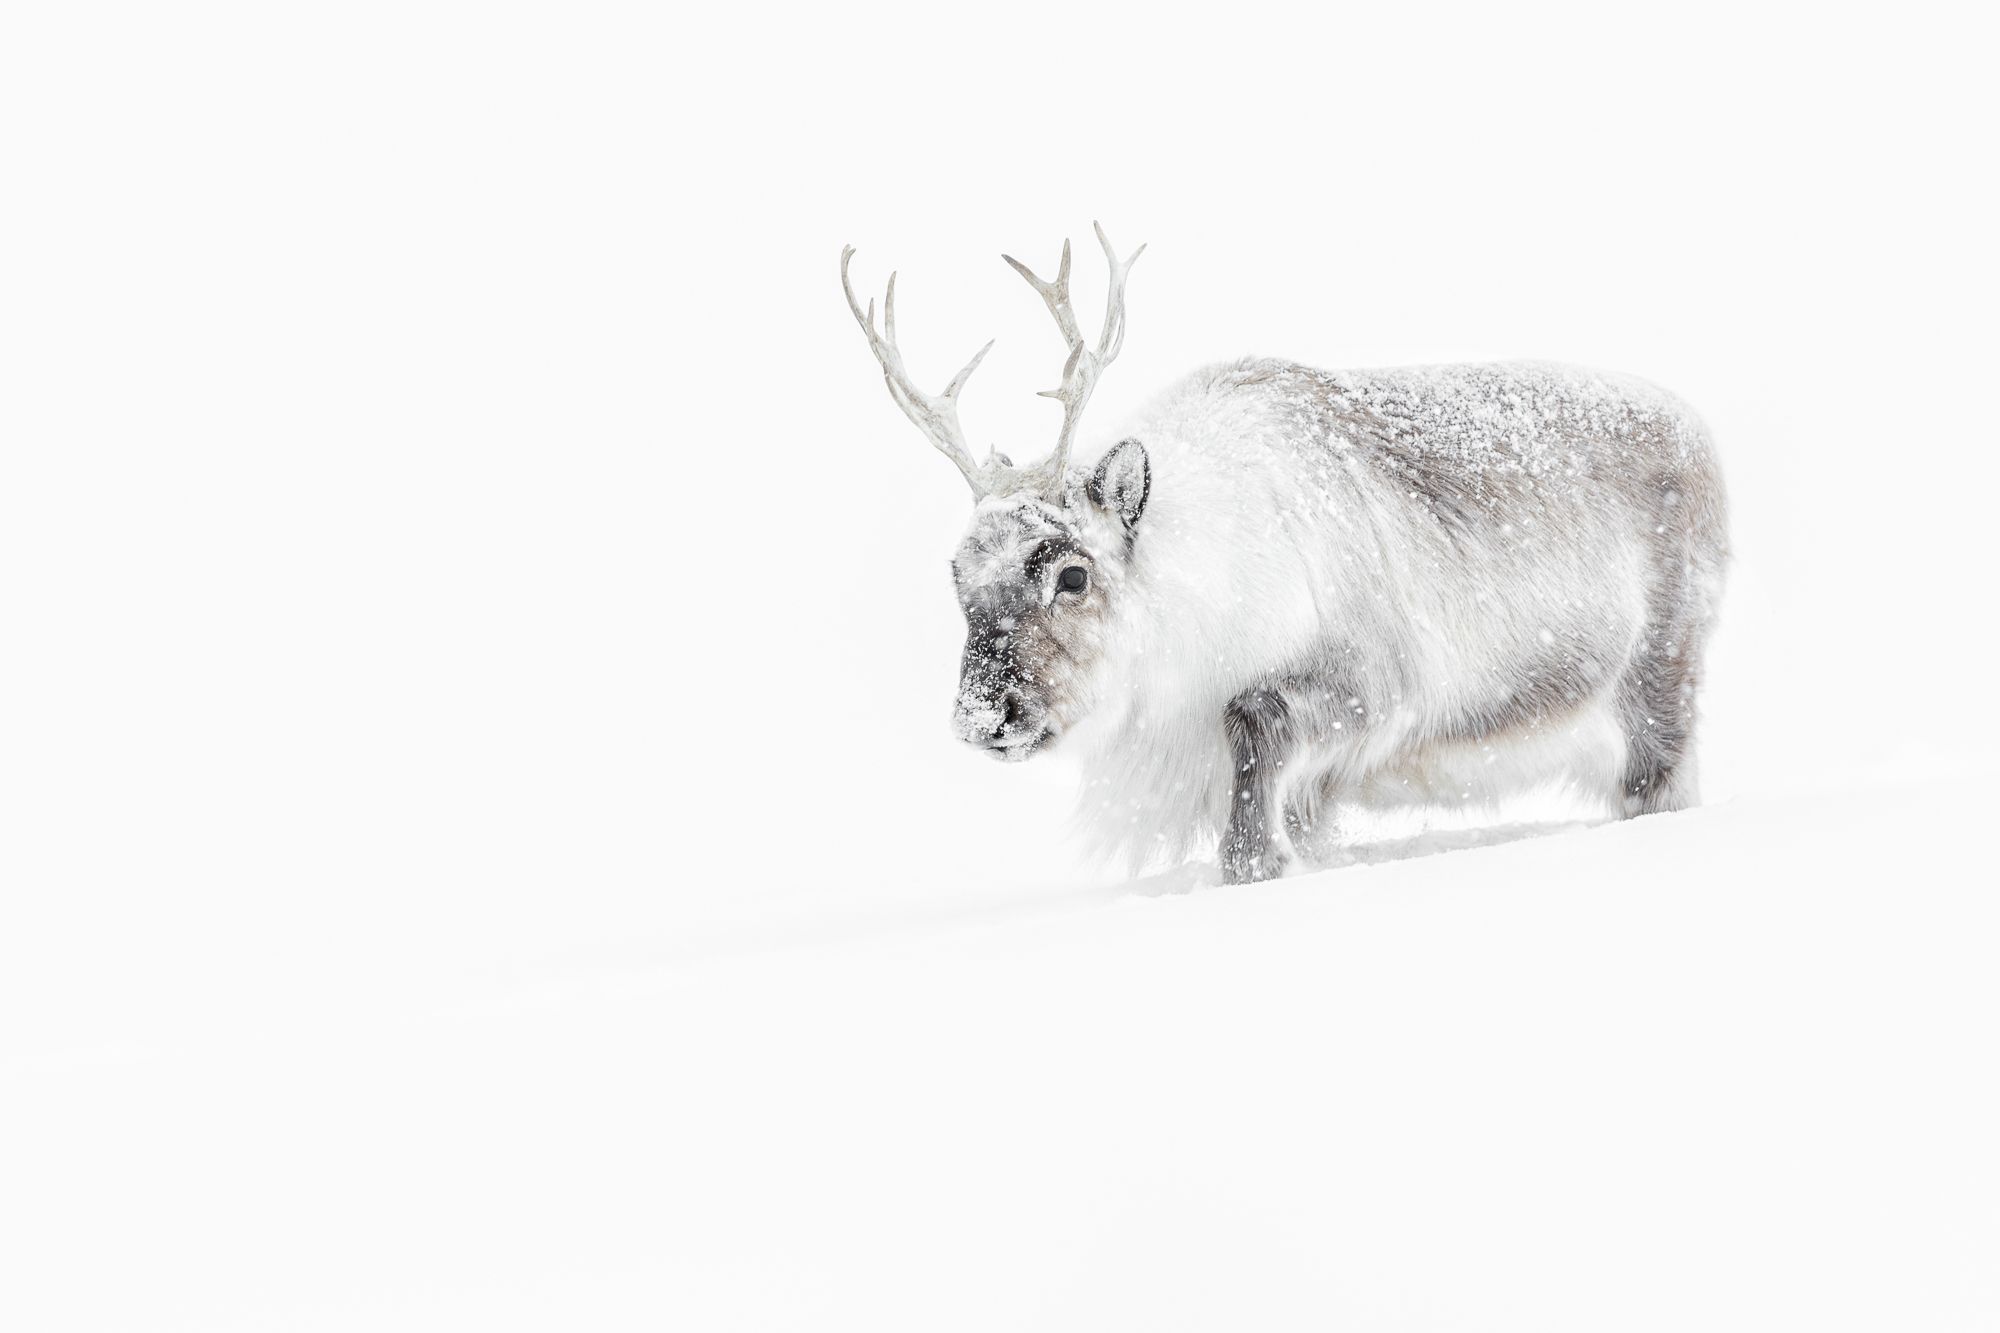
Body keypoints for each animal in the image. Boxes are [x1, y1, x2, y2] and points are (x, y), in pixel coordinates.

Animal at [840, 225, 1729, 883]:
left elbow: (1251, 717)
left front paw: (1256, 862)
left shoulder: (1378, 686)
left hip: (1660, 685)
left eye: (1071, 572)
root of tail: (1702, 435)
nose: (979, 717)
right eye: (958, 576)